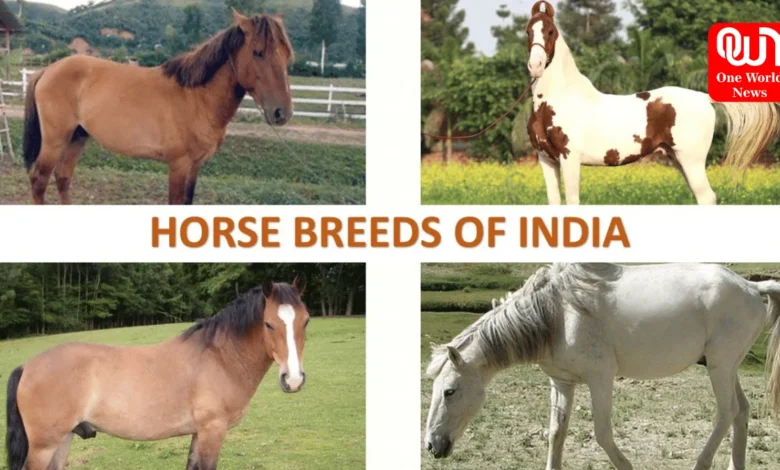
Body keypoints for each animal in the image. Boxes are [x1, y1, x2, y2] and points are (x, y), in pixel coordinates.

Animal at [5, 280, 309, 470]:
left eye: (306, 320)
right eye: (268, 324)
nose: (293, 379)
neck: (220, 358)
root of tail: (27, 366)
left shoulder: (199, 433)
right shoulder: (212, 430)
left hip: (62, 440)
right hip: (44, 446)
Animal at [22, 10, 294, 205]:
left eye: (286, 54)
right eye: (258, 53)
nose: (282, 113)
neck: (196, 98)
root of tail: (48, 70)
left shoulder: (195, 167)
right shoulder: (179, 166)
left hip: (77, 136)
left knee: (63, 177)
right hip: (55, 140)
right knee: (39, 181)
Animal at [424, 263, 780, 470]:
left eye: (450, 391)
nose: (431, 445)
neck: (556, 314)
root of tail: (752, 287)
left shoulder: (600, 380)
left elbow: (603, 435)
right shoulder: (562, 383)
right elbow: (556, 434)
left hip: (720, 368)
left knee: (726, 413)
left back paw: (701, 463)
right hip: (727, 369)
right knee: (741, 411)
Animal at [524, 0, 780, 205]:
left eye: (550, 31)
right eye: (528, 32)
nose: (535, 66)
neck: (559, 99)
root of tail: (703, 97)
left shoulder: (570, 158)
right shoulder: (546, 160)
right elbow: (554, 202)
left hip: (692, 160)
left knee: (707, 197)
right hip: (677, 159)